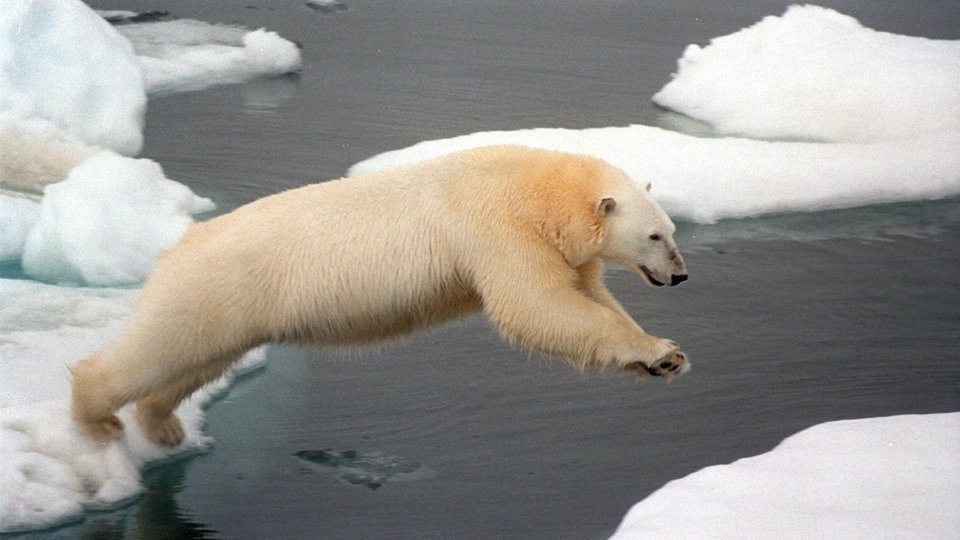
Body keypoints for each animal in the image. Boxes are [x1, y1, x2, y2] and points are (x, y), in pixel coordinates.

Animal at [75, 144, 688, 448]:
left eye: (671, 229)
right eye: (655, 236)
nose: (681, 276)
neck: (540, 188)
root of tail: (174, 249)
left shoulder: (561, 247)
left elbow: (586, 296)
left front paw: (665, 357)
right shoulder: (496, 227)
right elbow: (535, 306)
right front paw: (659, 351)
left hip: (228, 308)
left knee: (195, 362)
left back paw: (163, 424)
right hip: (214, 286)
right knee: (158, 349)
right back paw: (96, 416)